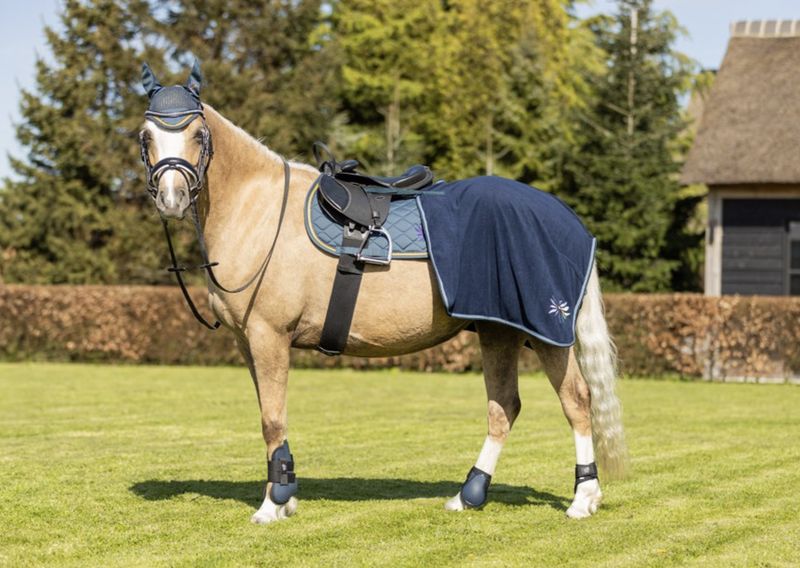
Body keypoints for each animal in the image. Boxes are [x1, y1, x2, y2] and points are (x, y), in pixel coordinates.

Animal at [138, 62, 627, 524]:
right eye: (146, 135)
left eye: (199, 133)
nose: (171, 198)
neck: (259, 211)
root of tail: (567, 218)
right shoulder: (248, 343)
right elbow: (269, 416)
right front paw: (285, 495)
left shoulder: (268, 336)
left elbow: (271, 420)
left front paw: (272, 504)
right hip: (498, 332)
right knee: (504, 406)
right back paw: (468, 496)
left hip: (547, 333)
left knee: (576, 401)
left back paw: (583, 498)